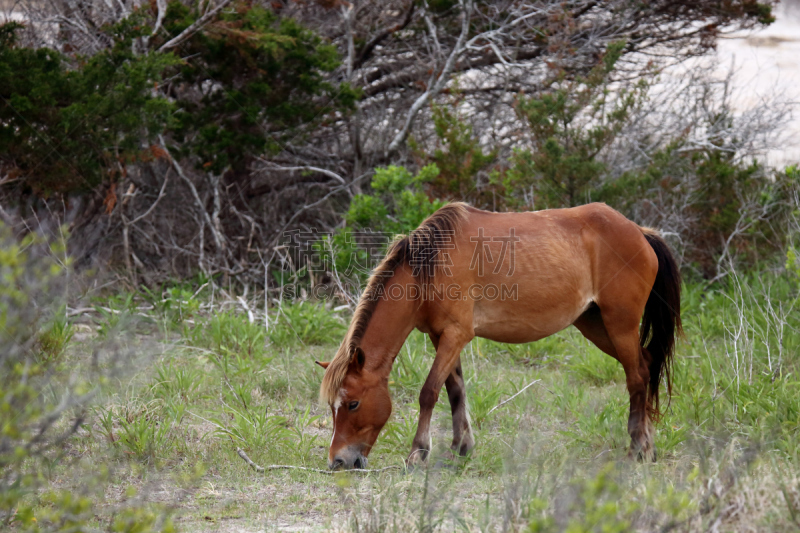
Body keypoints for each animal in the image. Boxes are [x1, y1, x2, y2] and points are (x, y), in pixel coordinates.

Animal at [316, 202, 680, 468]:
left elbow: (429, 392)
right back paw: (649, 444)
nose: (338, 461)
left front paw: (419, 452)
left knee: (636, 378)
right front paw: (461, 447)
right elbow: (455, 390)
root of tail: (640, 232)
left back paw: (636, 448)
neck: (428, 269)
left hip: (619, 325)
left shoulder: (456, 335)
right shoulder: (442, 337)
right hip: (595, 325)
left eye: (353, 403)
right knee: (646, 366)